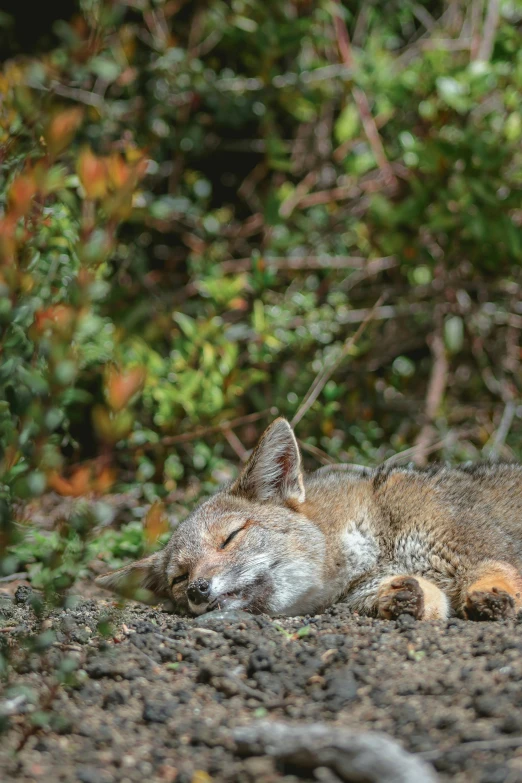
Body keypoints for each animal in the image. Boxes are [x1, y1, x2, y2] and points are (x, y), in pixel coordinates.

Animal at [96, 420, 520, 620]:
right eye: (178, 580)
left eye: (230, 537)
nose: (198, 590)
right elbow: (427, 601)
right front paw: (402, 598)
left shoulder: (470, 543)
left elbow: (494, 565)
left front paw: (492, 593)